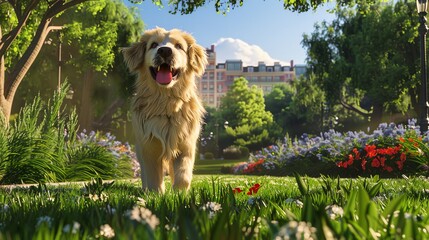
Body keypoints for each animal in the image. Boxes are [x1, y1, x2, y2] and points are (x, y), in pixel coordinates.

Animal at [122, 28, 207, 192]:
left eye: (179, 46)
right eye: (154, 45)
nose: (165, 51)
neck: (166, 103)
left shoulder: (186, 145)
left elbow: (183, 176)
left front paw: (179, 193)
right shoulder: (149, 146)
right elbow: (153, 178)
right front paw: (156, 194)